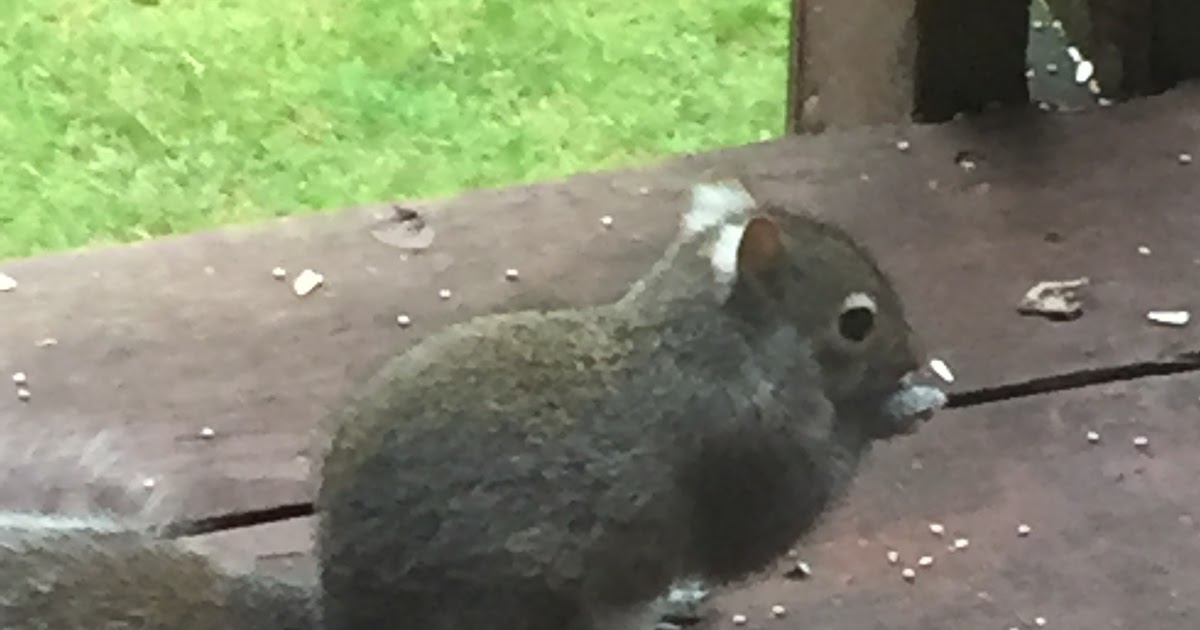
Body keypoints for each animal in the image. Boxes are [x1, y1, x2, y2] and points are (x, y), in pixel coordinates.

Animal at [314, 178, 946, 630]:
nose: (912, 357)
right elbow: (776, 519)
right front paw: (901, 409)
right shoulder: (745, 445)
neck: (721, 338)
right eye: (856, 323)